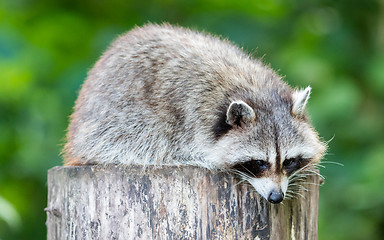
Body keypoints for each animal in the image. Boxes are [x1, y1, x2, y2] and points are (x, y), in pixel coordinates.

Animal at [63, 23, 328, 204]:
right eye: (259, 163)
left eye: (289, 161)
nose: (276, 197)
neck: (256, 91)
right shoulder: (186, 119)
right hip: (114, 119)